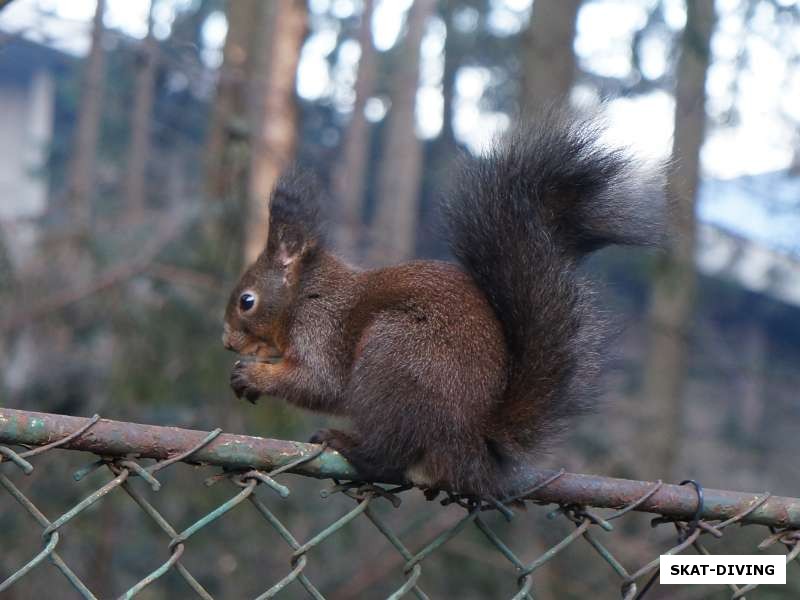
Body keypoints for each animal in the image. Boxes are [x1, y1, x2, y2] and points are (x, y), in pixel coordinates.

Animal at [222, 111, 664, 496]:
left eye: (247, 301)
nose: (227, 343)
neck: (304, 294)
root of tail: (468, 442)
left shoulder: (322, 327)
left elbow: (319, 382)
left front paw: (252, 375)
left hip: (393, 357)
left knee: (389, 456)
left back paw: (348, 443)